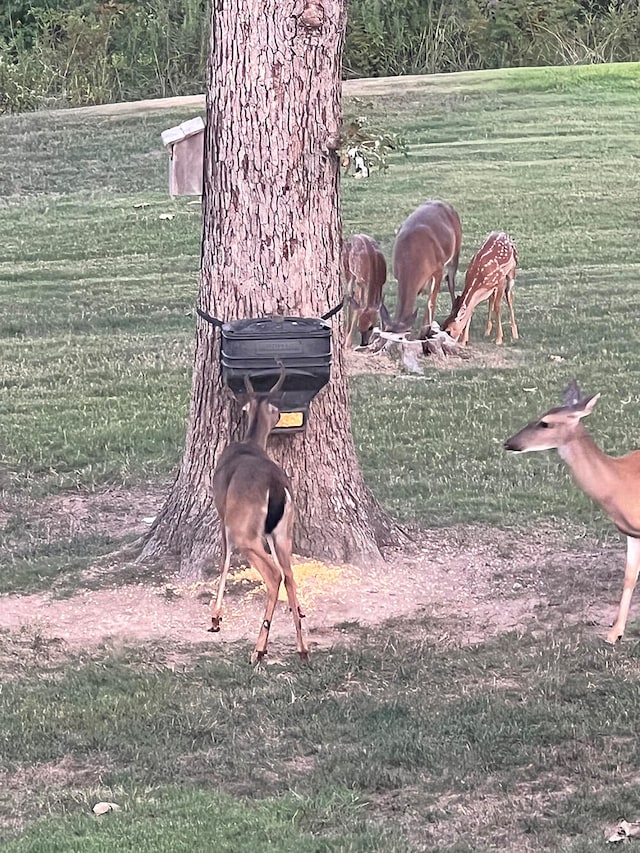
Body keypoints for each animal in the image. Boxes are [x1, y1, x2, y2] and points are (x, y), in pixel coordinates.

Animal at [210, 364, 308, 660]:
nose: (280, 417)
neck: (250, 444)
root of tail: (275, 486)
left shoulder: (223, 514)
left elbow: (224, 558)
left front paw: (215, 617)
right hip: (283, 530)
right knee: (288, 573)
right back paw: (302, 648)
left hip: (246, 530)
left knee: (274, 574)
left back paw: (259, 650)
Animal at [504, 382, 640, 644]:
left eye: (545, 423)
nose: (508, 443)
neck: (619, 484)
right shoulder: (631, 531)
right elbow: (629, 576)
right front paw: (614, 633)